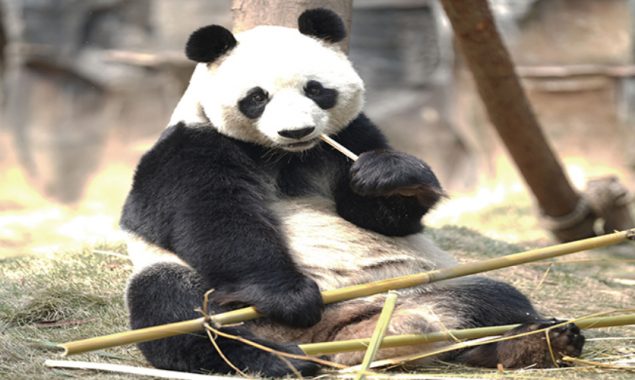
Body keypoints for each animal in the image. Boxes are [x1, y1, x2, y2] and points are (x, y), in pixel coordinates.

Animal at [120, 8, 588, 378]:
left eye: (315, 89)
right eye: (257, 97)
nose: (297, 131)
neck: (284, 157)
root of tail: (334, 337)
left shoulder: (351, 135)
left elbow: (377, 214)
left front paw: (390, 175)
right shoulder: (191, 148)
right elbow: (214, 217)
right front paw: (289, 296)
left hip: (408, 287)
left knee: (492, 300)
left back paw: (537, 341)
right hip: (204, 292)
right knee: (176, 311)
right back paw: (275, 360)